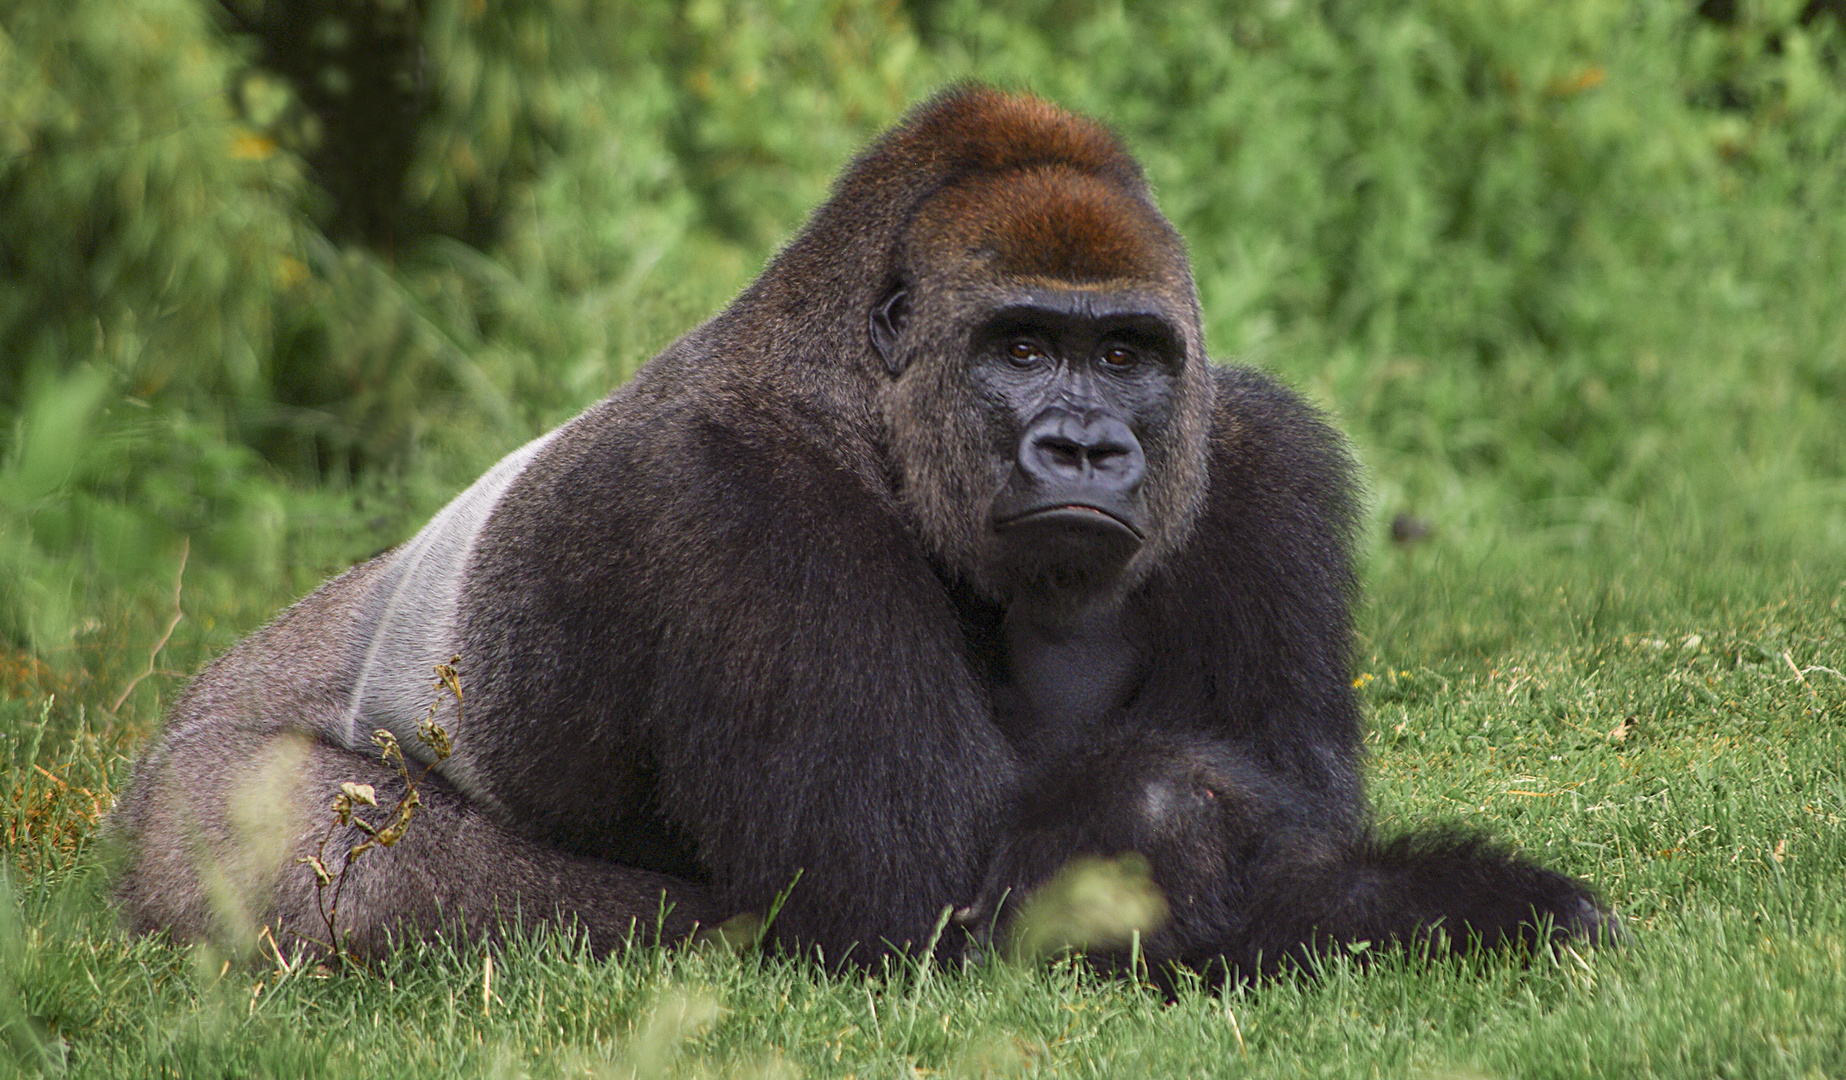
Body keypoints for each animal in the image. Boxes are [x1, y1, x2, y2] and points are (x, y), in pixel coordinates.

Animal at [115, 86, 1609, 974]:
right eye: (1021, 346)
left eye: (1125, 355)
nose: (1086, 445)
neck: (860, 391)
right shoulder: (739, 510)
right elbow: (927, 901)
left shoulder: (1255, 463)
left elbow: (1290, 818)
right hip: (187, 796)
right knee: (338, 874)